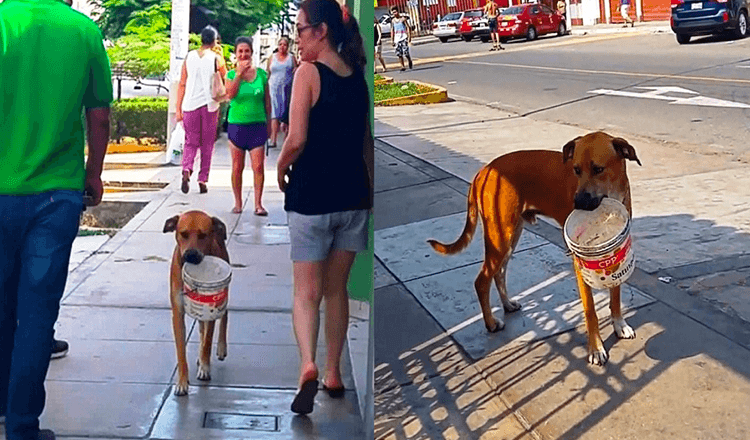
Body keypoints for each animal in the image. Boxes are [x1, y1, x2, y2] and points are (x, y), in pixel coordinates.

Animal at [165, 210, 231, 396]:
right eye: (183, 234)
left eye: (203, 235)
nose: (191, 255)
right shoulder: (177, 314)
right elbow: (181, 350)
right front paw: (182, 381)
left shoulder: (212, 310)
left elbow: (208, 340)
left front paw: (205, 367)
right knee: (201, 327)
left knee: (224, 315)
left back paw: (220, 348)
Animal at [432, 131, 644, 364]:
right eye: (576, 170)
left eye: (598, 169)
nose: (578, 203)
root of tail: (483, 171)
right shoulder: (579, 264)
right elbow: (590, 311)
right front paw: (596, 348)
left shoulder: (615, 250)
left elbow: (616, 296)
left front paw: (619, 324)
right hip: (500, 237)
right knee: (482, 280)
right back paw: (490, 323)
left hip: (510, 236)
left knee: (499, 273)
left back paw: (507, 304)